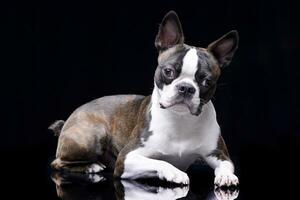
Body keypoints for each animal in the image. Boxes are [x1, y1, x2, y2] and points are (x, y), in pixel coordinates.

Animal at [50, 10, 240, 187]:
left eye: (207, 81)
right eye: (168, 71)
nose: (186, 88)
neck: (180, 119)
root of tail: (68, 120)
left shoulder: (219, 154)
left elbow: (227, 165)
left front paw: (227, 176)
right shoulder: (126, 158)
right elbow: (160, 161)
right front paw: (175, 172)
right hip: (92, 136)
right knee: (57, 162)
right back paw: (91, 166)